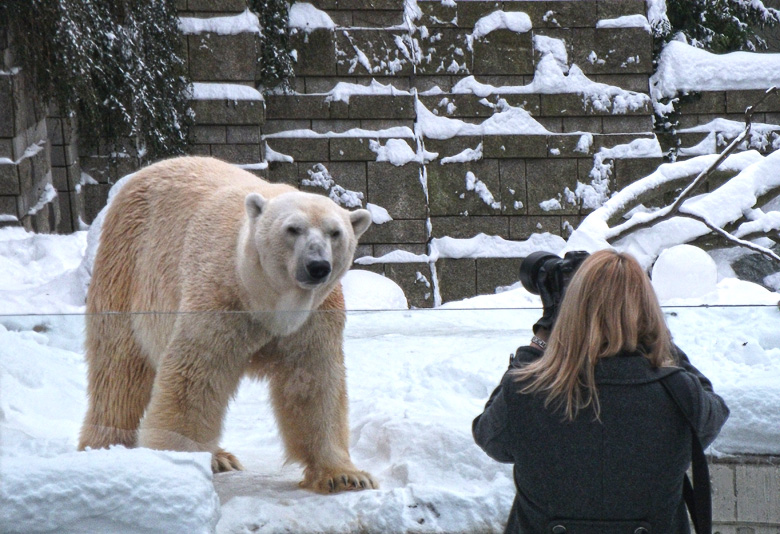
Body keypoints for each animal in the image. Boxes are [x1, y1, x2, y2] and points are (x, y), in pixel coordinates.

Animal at [77, 155, 378, 494]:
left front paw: (346, 476)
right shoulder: (221, 298)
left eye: (335, 232)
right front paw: (179, 467)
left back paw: (220, 457)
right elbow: (195, 376)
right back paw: (104, 446)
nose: (317, 266)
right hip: (128, 265)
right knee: (119, 368)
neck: (267, 299)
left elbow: (312, 381)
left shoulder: (314, 317)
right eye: (293, 229)